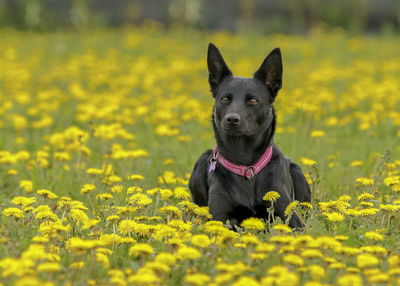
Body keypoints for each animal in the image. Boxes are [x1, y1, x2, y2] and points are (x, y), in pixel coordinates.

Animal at [189, 43, 310, 229]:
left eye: (253, 100)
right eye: (225, 99)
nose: (232, 119)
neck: (246, 165)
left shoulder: (292, 219)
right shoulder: (219, 217)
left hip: (297, 172)